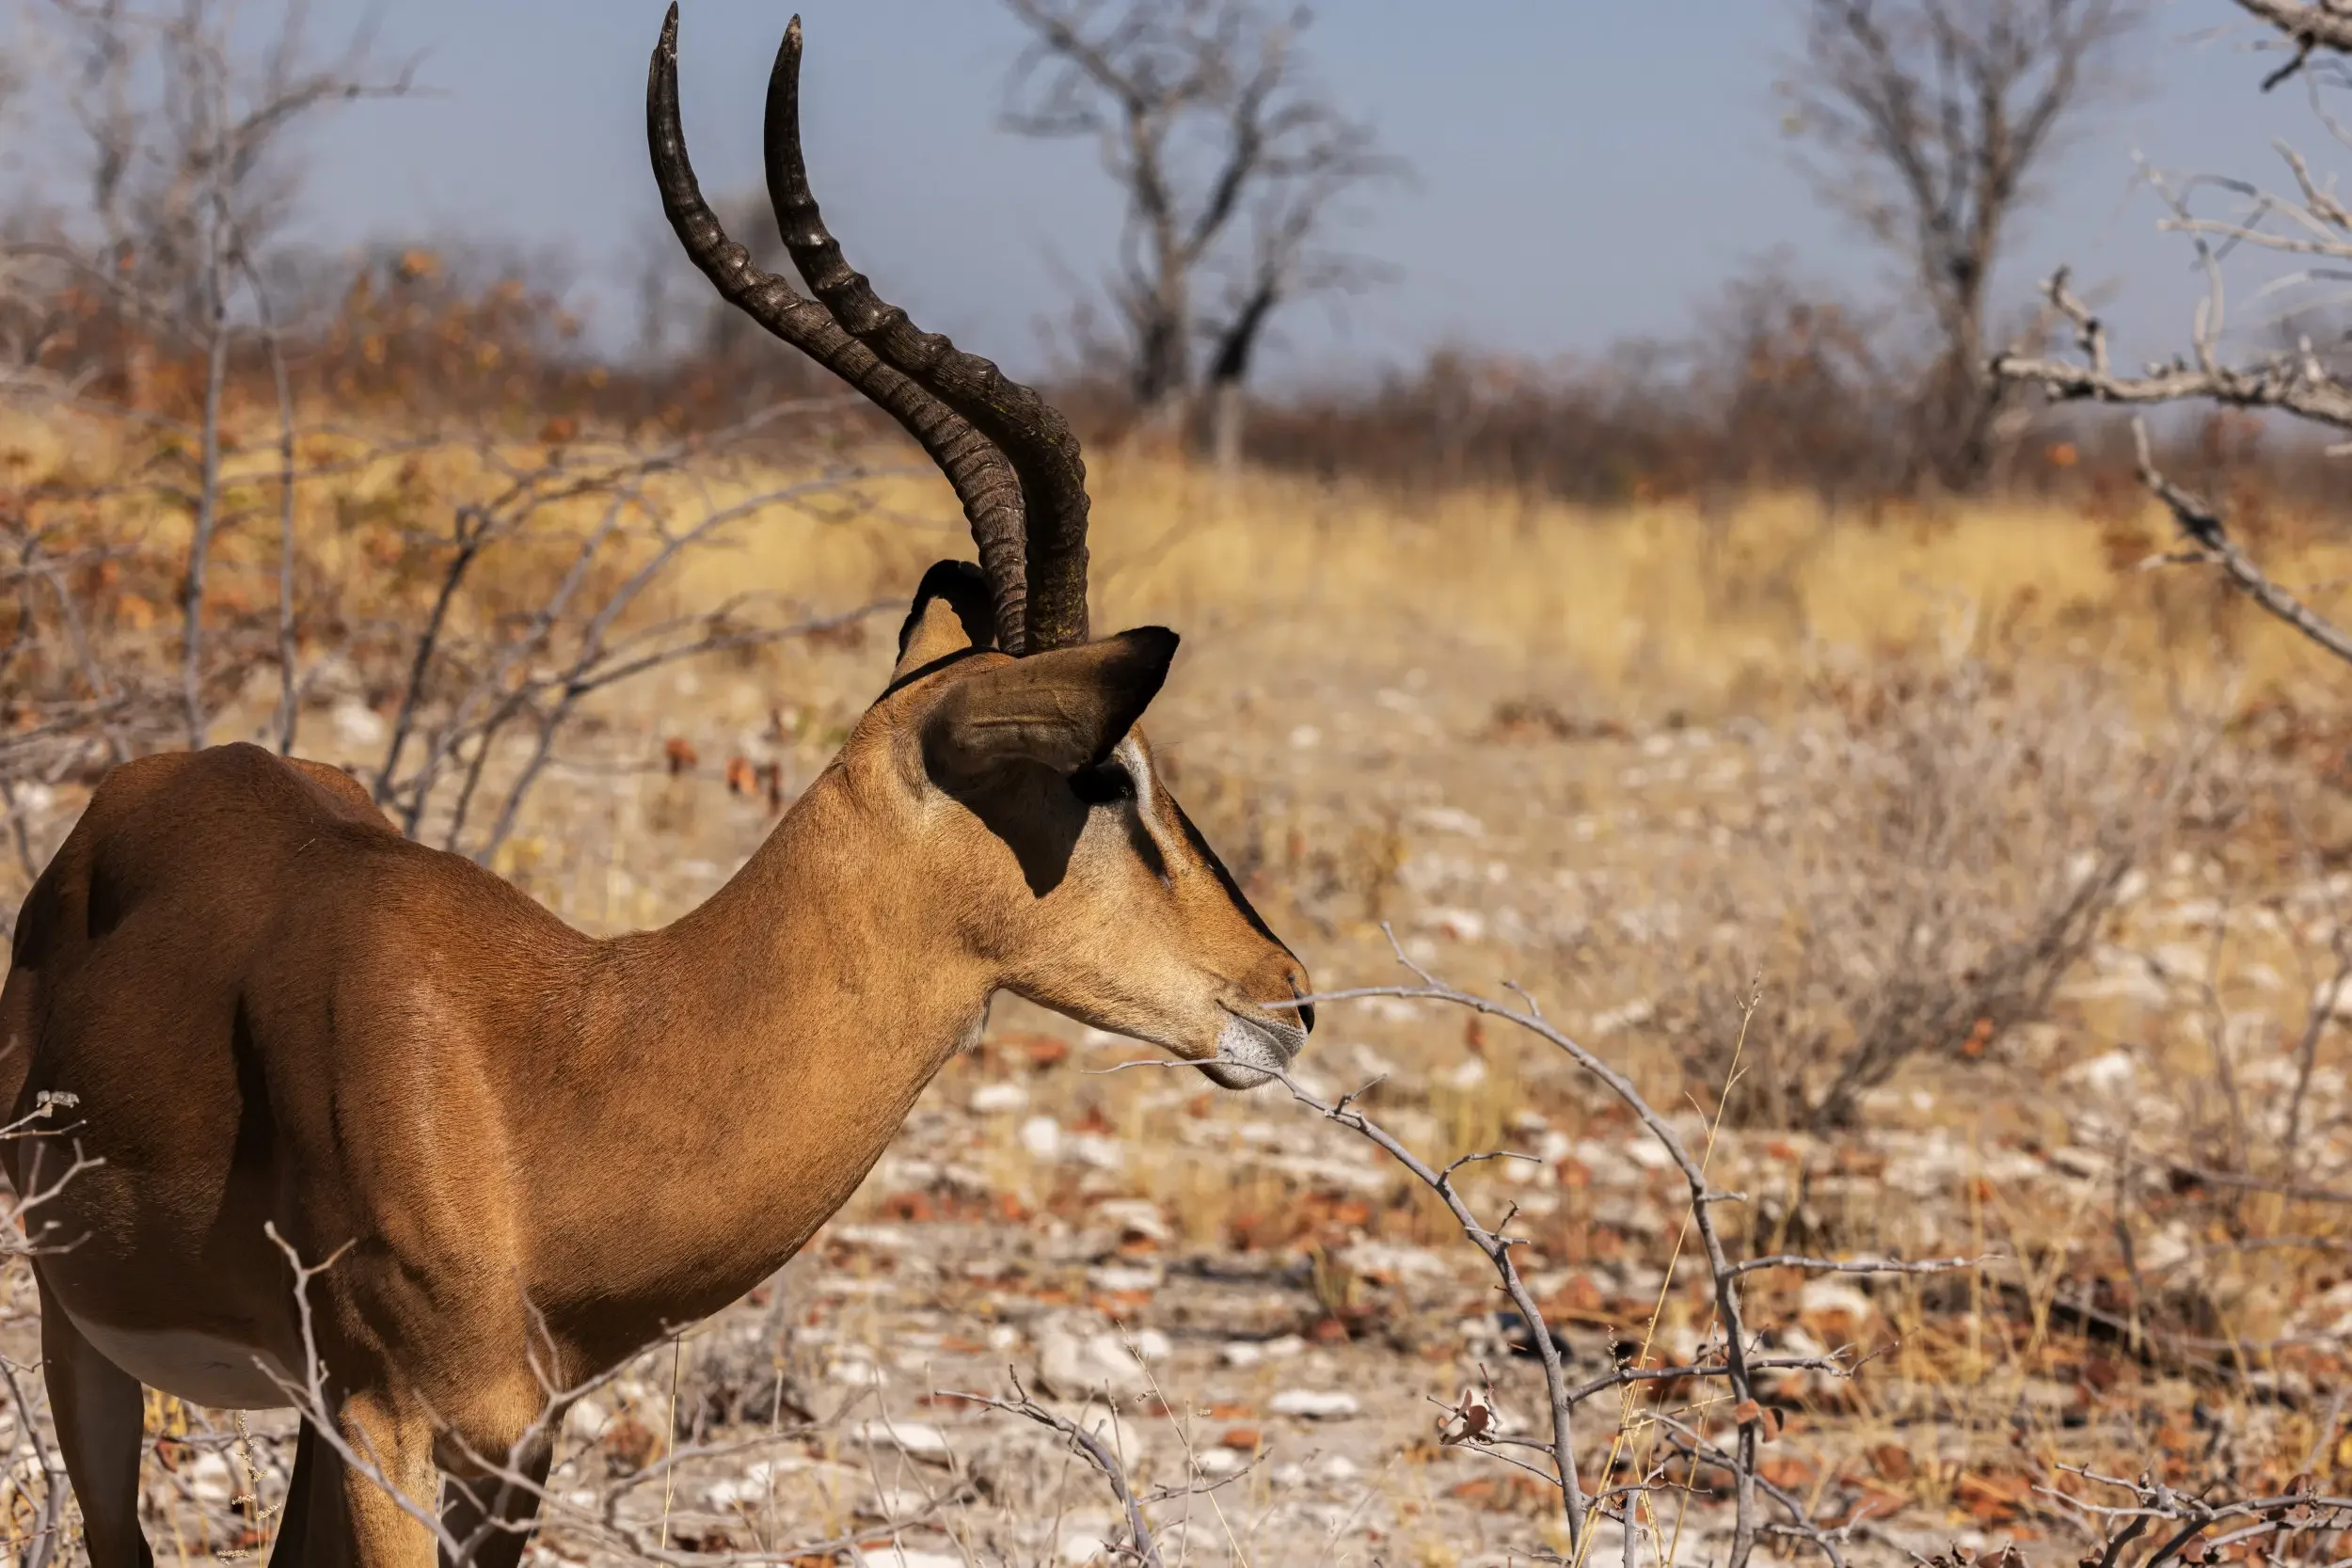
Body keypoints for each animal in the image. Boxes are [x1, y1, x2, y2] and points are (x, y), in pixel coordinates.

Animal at [0, 10, 1314, 1565]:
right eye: (1105, 772)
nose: (1287, 996)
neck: (560, 1069)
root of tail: (130, 798)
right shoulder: (384, 1427)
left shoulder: (513, 1443)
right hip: (76, 1323)